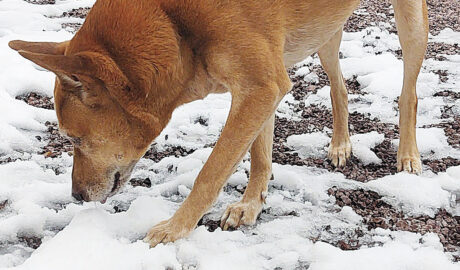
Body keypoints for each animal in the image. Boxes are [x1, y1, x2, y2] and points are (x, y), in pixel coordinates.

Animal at [9, 0, 428, 247]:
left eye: (74, 139)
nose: (77, 196)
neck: (173, 22)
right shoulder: (262, 87)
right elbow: (259, 155)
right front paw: (251, 205)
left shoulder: (260, 87)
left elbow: (211, 171)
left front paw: (176, 229)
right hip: (325, 30)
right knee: (339, 88)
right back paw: (341, 145)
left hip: (410, 22)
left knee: (409, 92)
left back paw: (408, 155)